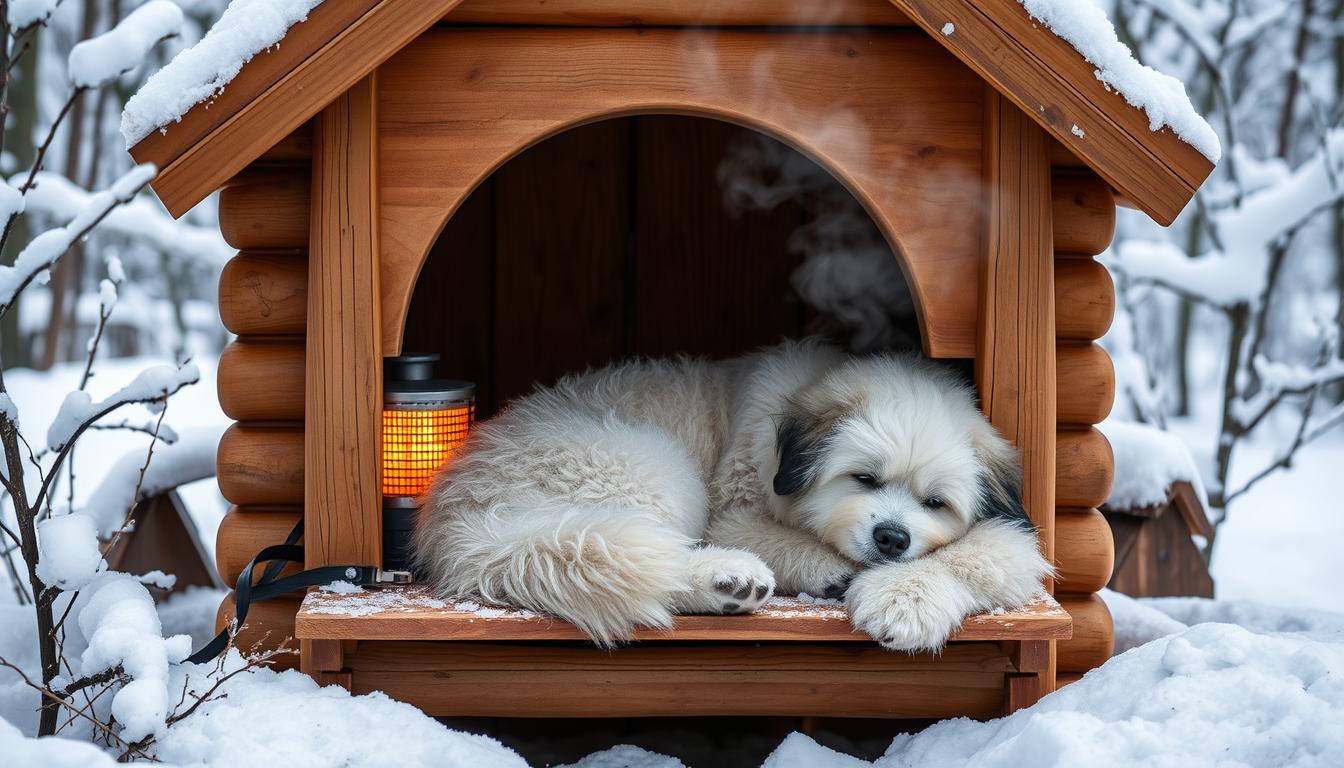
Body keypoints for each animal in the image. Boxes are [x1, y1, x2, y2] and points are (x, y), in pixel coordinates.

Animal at [413, 341, 1053, 648]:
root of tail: (464, 520)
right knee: (636, 558)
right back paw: (727, 578)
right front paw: (839, 572)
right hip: (656, 468)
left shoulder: (1014, 534)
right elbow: (784, 538)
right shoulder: (732, 510)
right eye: (864, 479)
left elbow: (979, 553)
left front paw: (907, 600)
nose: (891, 537)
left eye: (935, 503)